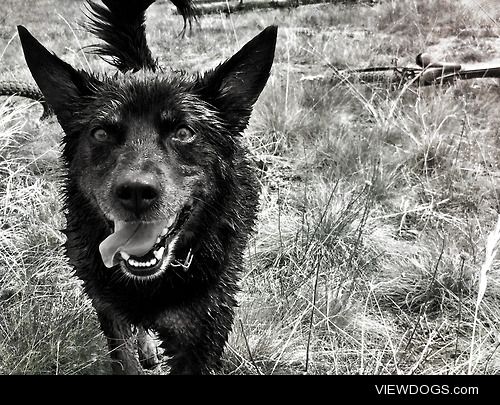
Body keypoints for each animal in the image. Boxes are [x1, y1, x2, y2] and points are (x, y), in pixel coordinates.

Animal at [18, 0, 278, 372]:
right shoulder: (107, 304)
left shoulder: (203, 328)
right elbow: (123, 354)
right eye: (101, 133)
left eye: (183, 132)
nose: (136, 192)